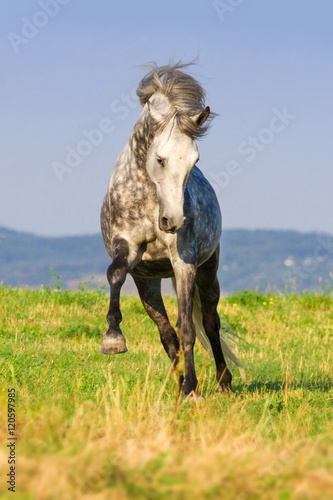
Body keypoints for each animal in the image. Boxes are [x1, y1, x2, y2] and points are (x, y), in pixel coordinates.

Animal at [98, 63, 241, 398]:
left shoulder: (184, 263)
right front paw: (113, 339)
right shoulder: (128, 250)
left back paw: (222, 382)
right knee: (165, 333)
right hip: (147, 281)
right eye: (160, 159)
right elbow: (115, 274)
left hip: (208, 270)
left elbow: (187, 328)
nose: (172, 221)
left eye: (194, 160)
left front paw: (191, 389)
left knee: (210, 323)